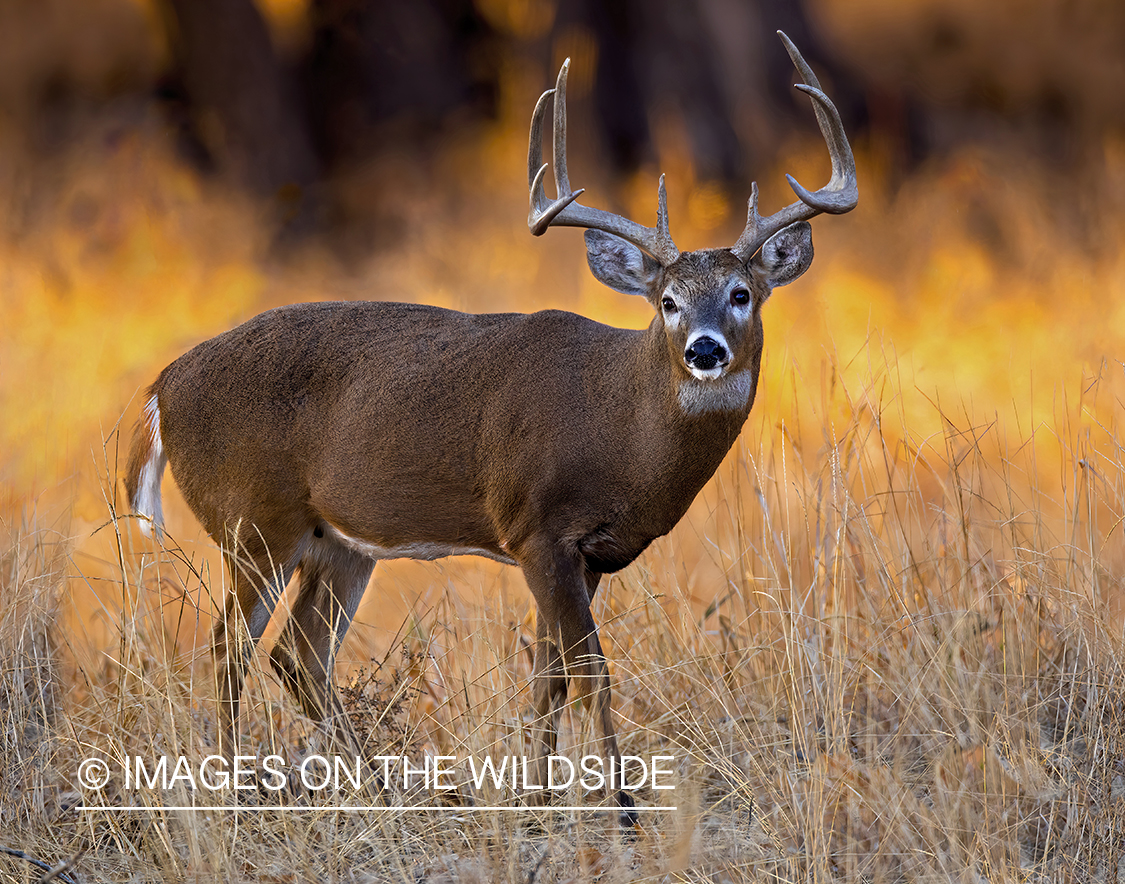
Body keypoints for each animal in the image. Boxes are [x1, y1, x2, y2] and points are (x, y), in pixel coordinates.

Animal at [123, 34, 855, 818]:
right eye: (667, 302)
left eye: (742, 293)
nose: (705, 349)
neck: (622, 429)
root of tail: (162, 385)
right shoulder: (536, 527)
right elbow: (589, 670)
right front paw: (621, 808)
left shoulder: (586, 554)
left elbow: (549, 676)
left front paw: (540, 799)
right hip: (253, 520)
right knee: (228, 648)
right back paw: (233, 796)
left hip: (335, 541)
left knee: (299, 654)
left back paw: (380, 790)